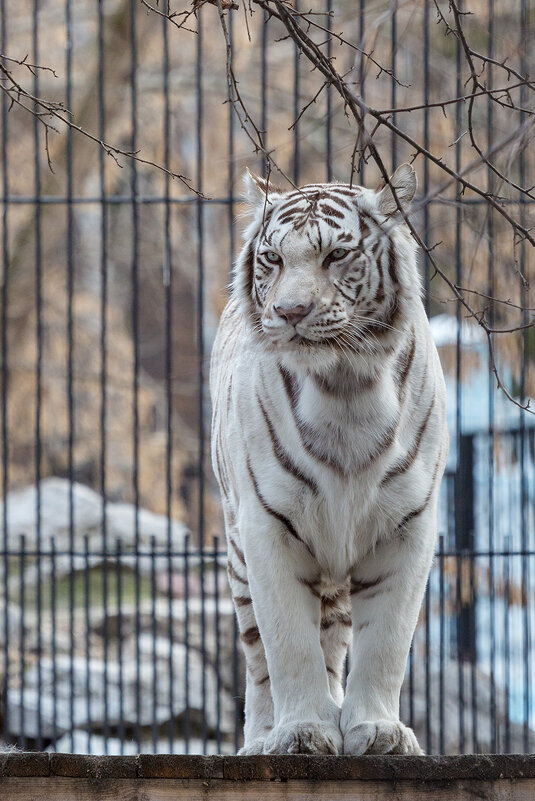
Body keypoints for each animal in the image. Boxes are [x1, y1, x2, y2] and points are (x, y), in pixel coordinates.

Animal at [209, 164, 448, 756]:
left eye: (336, 255)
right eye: (273, 259)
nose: (290, 312)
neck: (346, 388)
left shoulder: (408, 527)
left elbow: (385, 643)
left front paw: (377, 730)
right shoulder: (267, 528)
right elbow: (288, 645)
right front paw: (302, 732)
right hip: (238, 553)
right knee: (258, 658)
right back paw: (262, 738)